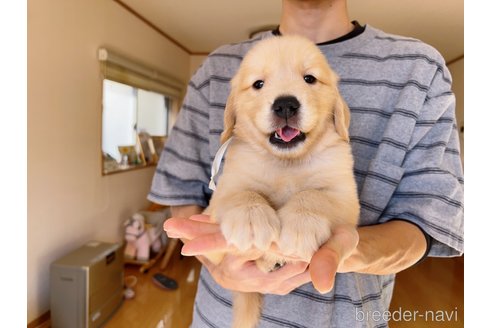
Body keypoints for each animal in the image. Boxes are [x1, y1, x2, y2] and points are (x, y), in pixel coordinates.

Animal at [206, 34, 360, 326]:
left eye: (309, 78)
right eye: (258, 84)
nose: (285, 104)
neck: (288, 163)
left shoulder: (345, 195)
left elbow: (313, 195)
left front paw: (300, 226)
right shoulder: (226, 188)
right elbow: (244, 194)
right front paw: (251, 220)